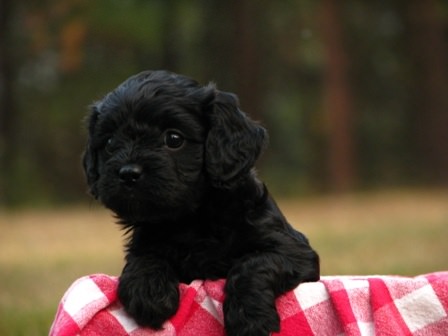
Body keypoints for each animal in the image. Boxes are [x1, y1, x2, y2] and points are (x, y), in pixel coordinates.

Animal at [82, 69, 320, 334]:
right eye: (109, 143)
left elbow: (254, 264)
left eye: (174, 138)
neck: (192, 218)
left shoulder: (293, 250)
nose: (128, 173)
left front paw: (250, 317)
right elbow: (144, 259)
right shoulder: (145, 244)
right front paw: (148, 293)